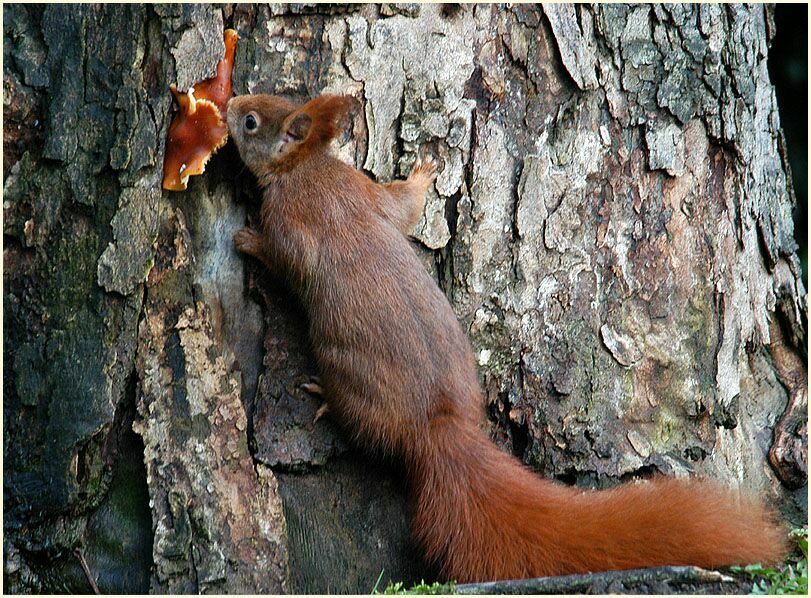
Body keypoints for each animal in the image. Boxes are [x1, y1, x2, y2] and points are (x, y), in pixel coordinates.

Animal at [225, 93, 787, 583]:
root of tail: (439, 426)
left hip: (355, 387)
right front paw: (424, 174)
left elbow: (284, 256)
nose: (230, 102)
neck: (306, 170)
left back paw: (323, 394)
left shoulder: (292, 221)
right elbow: (401, 209)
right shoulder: (367, 194)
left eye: (250, 121)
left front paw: (247, 240)